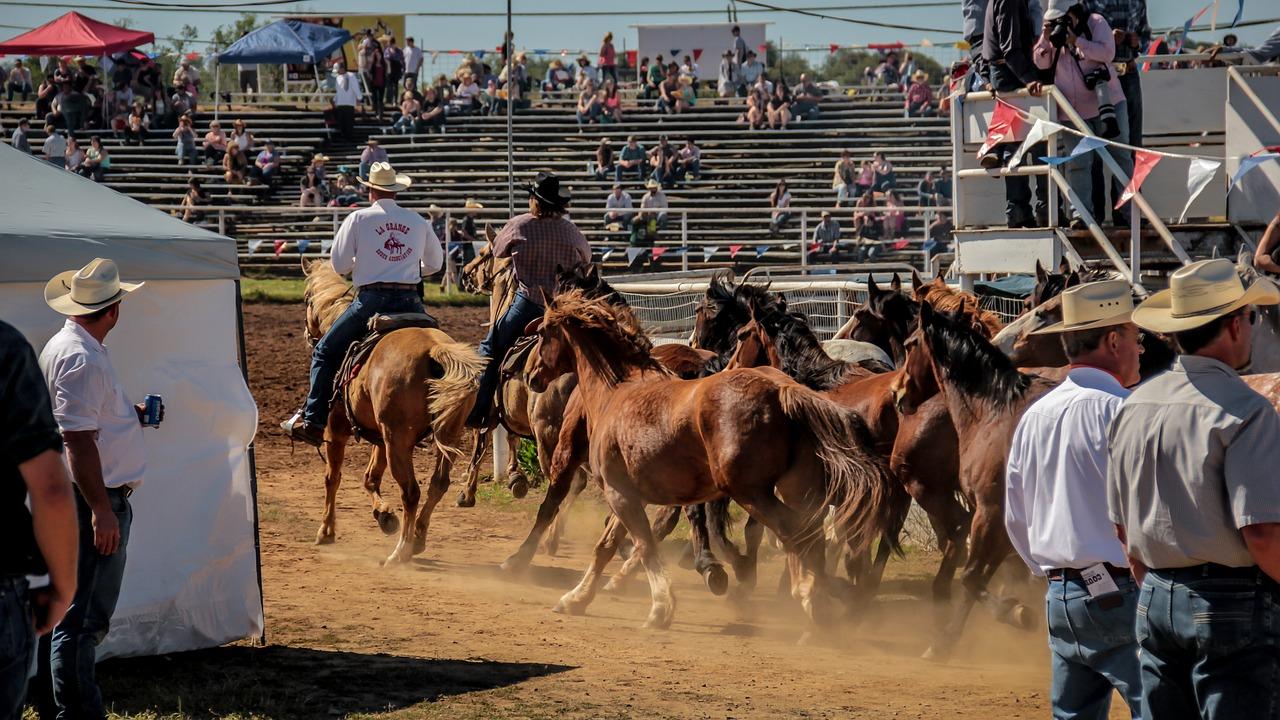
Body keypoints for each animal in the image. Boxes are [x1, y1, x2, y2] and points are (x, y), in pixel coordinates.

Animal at [302, 260, 486, 563]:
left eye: (306, 297)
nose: (308, 335)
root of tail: (434, 349)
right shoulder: (379, 437)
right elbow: (370, 478)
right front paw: (385, 516)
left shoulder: (336, 430)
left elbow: (333, 478)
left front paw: (326, 531)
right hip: (444, 433)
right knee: (438, 484)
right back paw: (418, 537)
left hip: (398, 441)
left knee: (411, 492)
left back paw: (400, 551)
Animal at [522, 289, 901, 632]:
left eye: (542, 333)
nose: (529, 375)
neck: (617, 391)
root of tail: (784, 391)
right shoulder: (627, 494)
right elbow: (607, 547)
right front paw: (576, 599)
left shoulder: (620, 493)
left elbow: (646, 545)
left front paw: (661, 609)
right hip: (795, 489)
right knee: (811, 536)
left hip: (752, 492)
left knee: (795, 534)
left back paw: (811, 598)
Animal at [890, 299, 1049, 661]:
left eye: (909, 344)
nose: (897, 394)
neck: (994, 413)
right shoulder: (1004, 522)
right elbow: (977, 578)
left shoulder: (989, 513)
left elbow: (972, 577)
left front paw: (1015, 613)